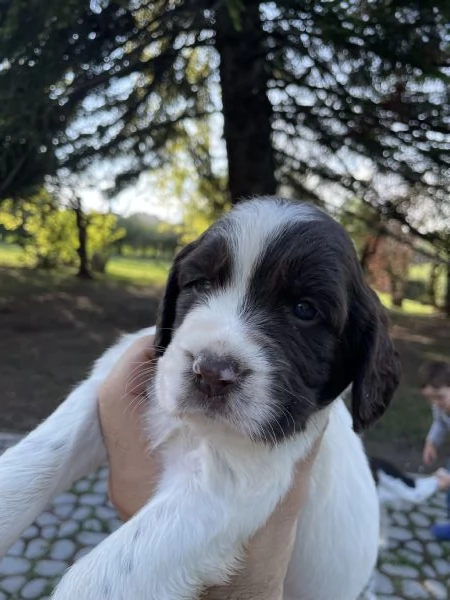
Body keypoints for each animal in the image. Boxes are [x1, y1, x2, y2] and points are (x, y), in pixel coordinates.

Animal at [0, 197, 400, 600]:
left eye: (305, 309)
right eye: (199, 283)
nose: (210, 372)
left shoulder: (231, 482)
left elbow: (100, 576)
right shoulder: (112, 375)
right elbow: (39, 455)